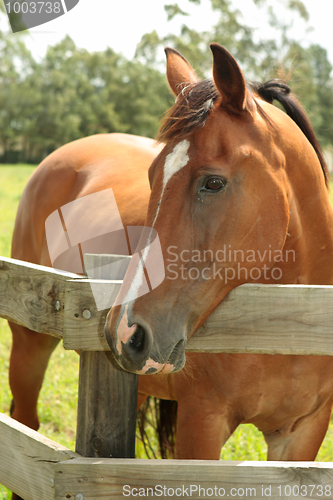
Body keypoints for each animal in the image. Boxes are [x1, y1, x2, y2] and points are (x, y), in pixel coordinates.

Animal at [6, 43, 332, 500]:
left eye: (213, 183)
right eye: (151, 176)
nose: (125, 332)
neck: (292, 320)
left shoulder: (302, 437)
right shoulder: (201, 424)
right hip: (29, 345)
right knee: (26, 428)